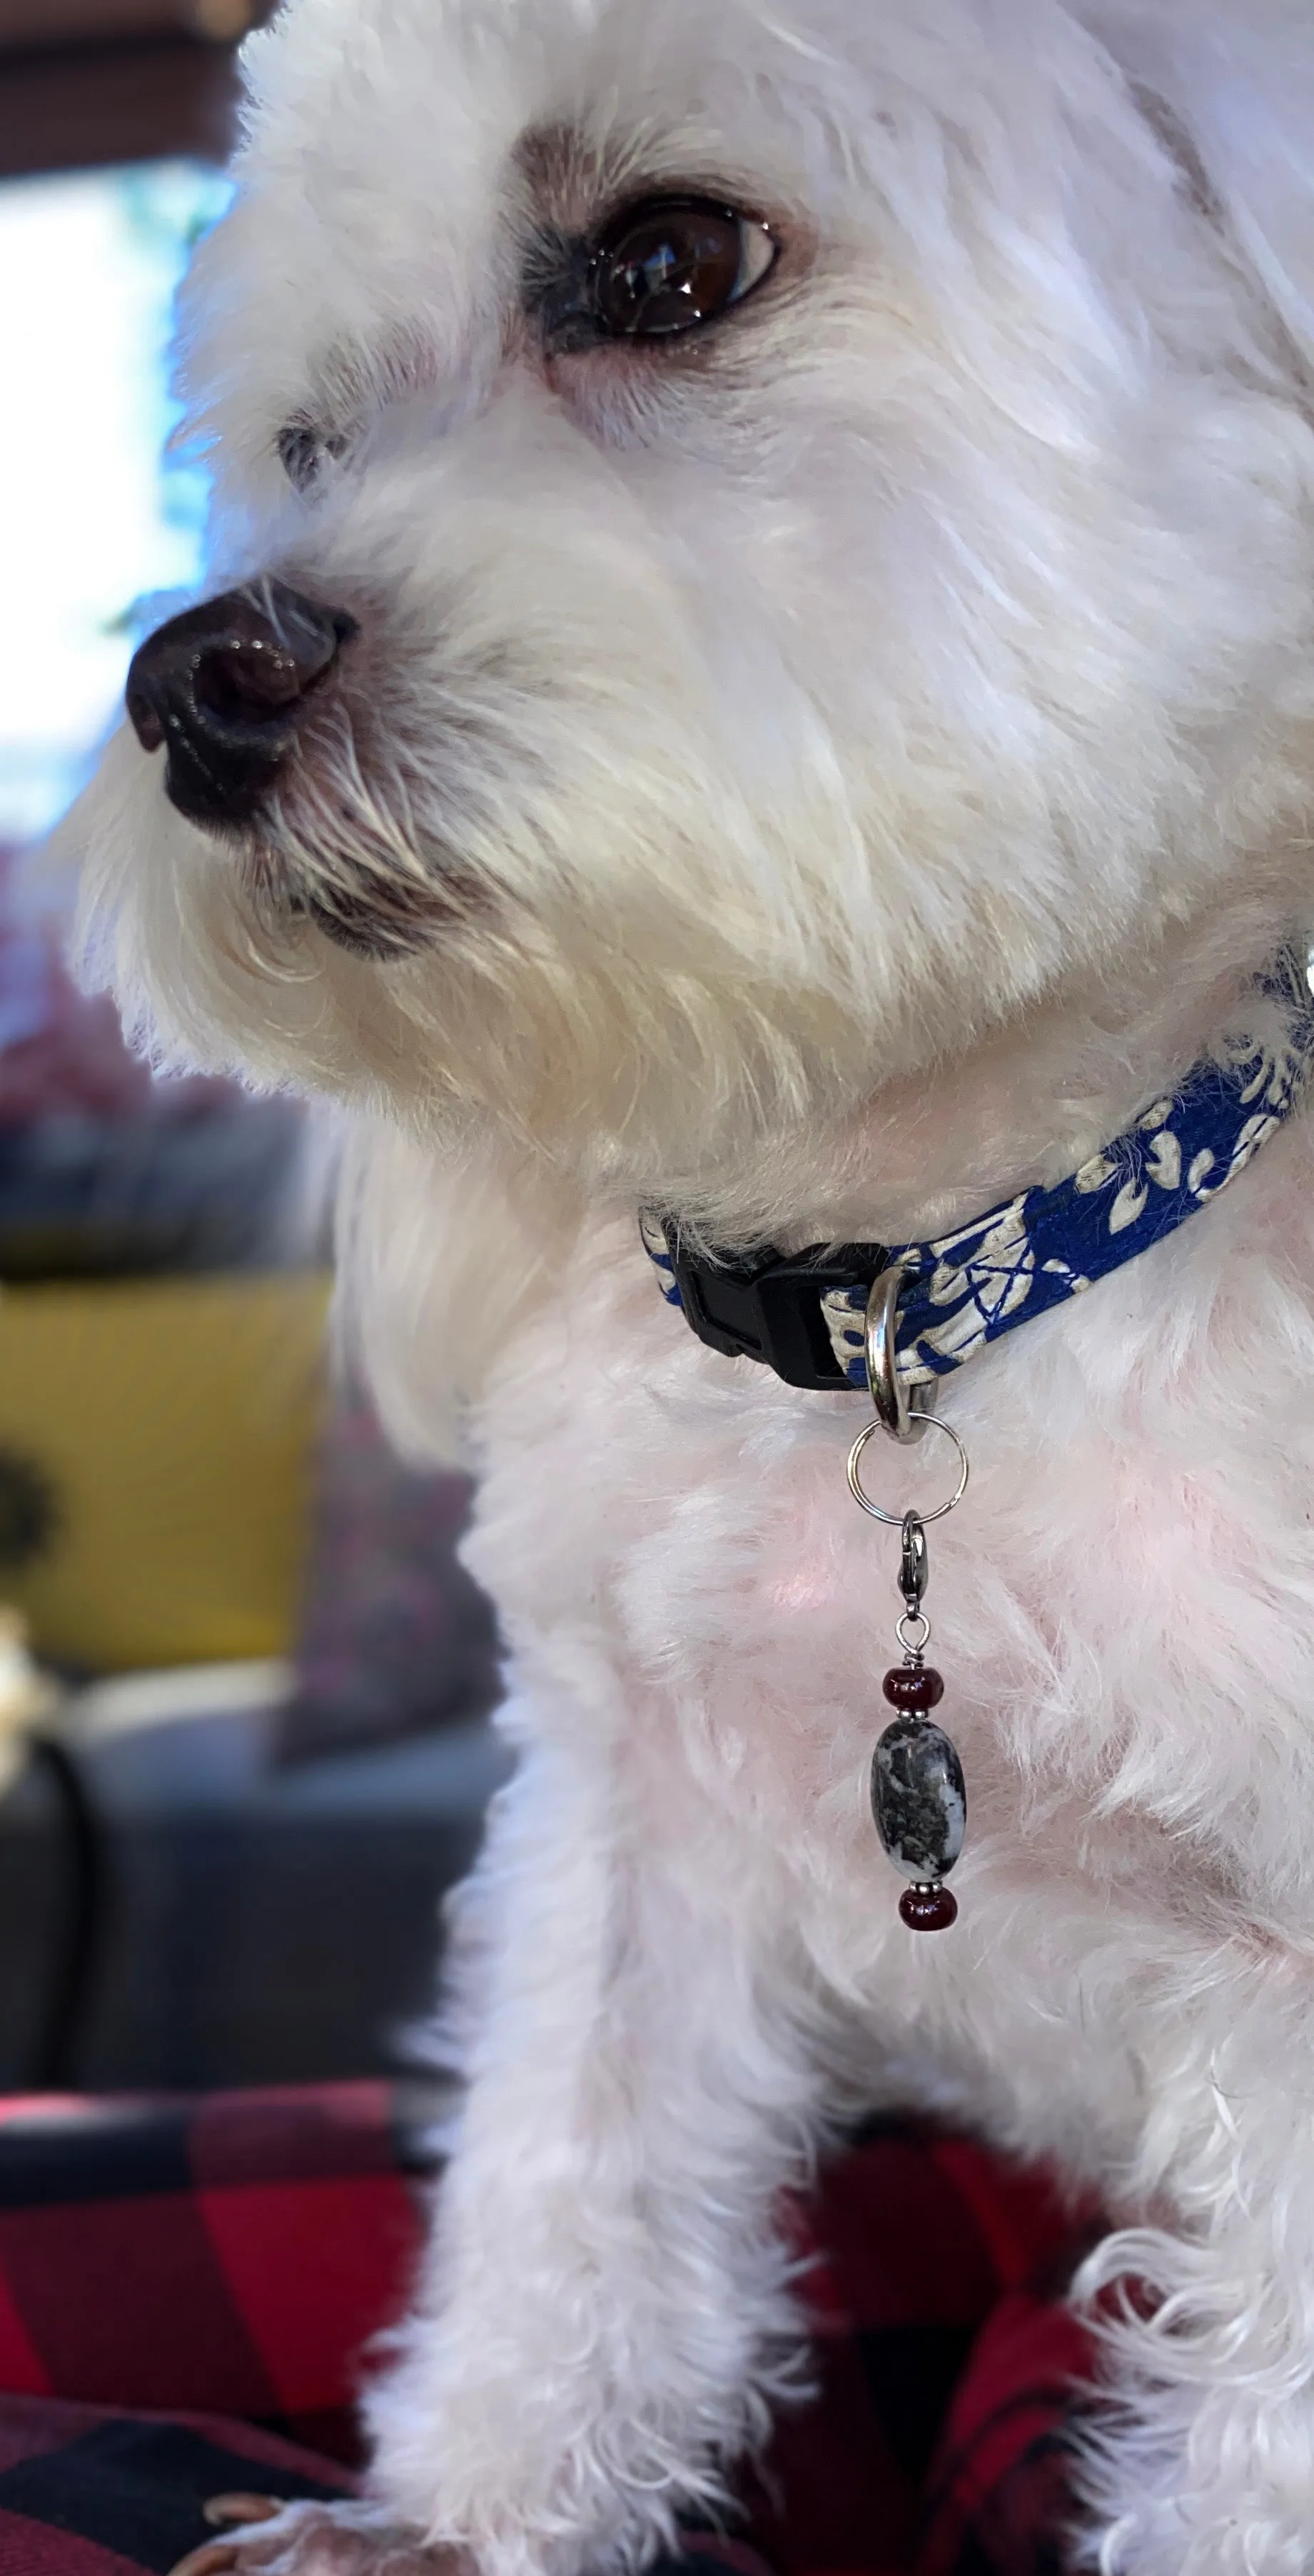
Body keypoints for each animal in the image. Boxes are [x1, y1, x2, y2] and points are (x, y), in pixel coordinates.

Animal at [64, 5, 1314, 2576]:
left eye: (667, 262)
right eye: (303, 443)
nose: (192, 687)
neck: (921, 1308)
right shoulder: (631, 1783)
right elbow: (577, 2151)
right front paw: (462, 2511)